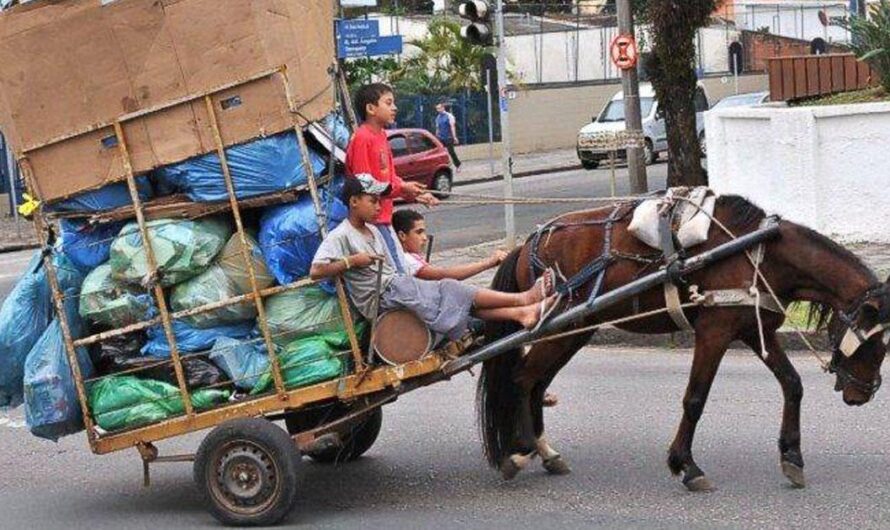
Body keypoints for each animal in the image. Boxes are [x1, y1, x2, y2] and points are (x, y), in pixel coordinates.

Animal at [478, 192, 888, 488]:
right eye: (875, 344)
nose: (861, 395)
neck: (761, 252)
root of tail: (526, 244)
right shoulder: (715, 331)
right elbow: (695, 398)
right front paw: (686, 465)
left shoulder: (754, 330)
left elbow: (792, 384)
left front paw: (791, 457)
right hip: (559, 328)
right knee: (524, 378)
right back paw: (520, 452)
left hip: (575, 329)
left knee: (537, 381)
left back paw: (544, 451)